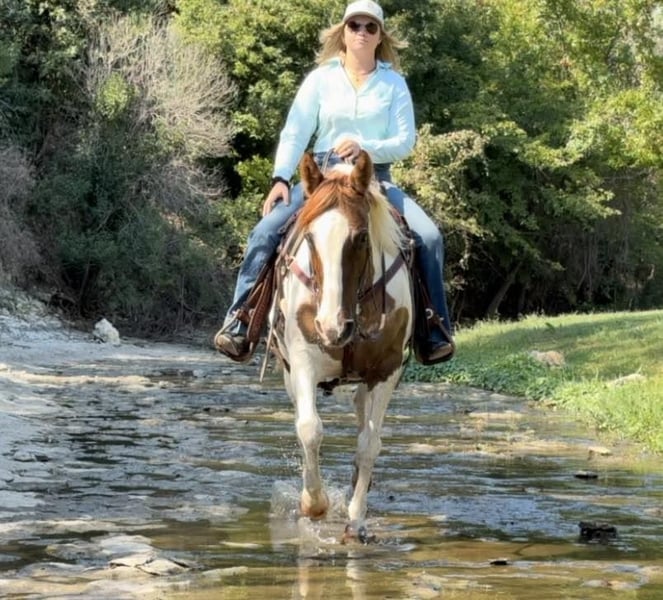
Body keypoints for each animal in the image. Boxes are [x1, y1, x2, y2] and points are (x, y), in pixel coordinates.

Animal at [268, 150, 413, 541]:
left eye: (362, 238)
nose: (331, 327)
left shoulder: (386, 371)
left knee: (363, 422)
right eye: (309, 239)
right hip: (290, 372)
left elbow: (369, 444)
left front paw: (356, 520)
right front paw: (313, 504)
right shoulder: (303, 361)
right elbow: (309, 429)